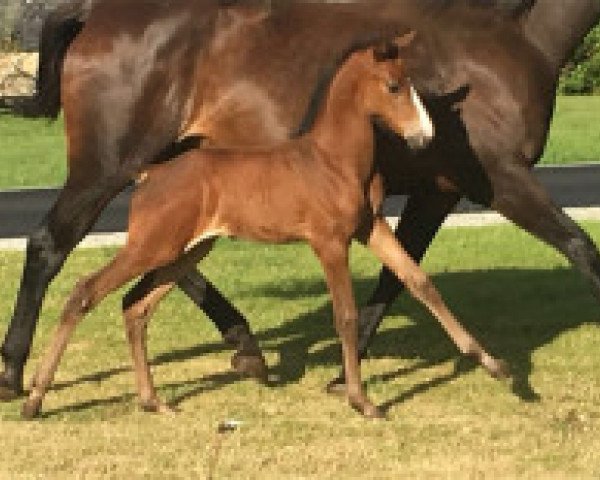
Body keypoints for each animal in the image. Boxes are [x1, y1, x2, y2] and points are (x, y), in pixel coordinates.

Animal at [22, 37, 506, 418]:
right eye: (393, 86)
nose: (424, 137)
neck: (335, 160)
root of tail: (150, 174)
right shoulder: (329, 243)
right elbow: (345, 315)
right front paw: (361, 401)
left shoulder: (371, 228)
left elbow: (419, 281)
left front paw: (493, 364)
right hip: (153, 246)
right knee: (86, 291)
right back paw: (34, 398)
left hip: (187, 251)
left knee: (135, 306)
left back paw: (152, 400)